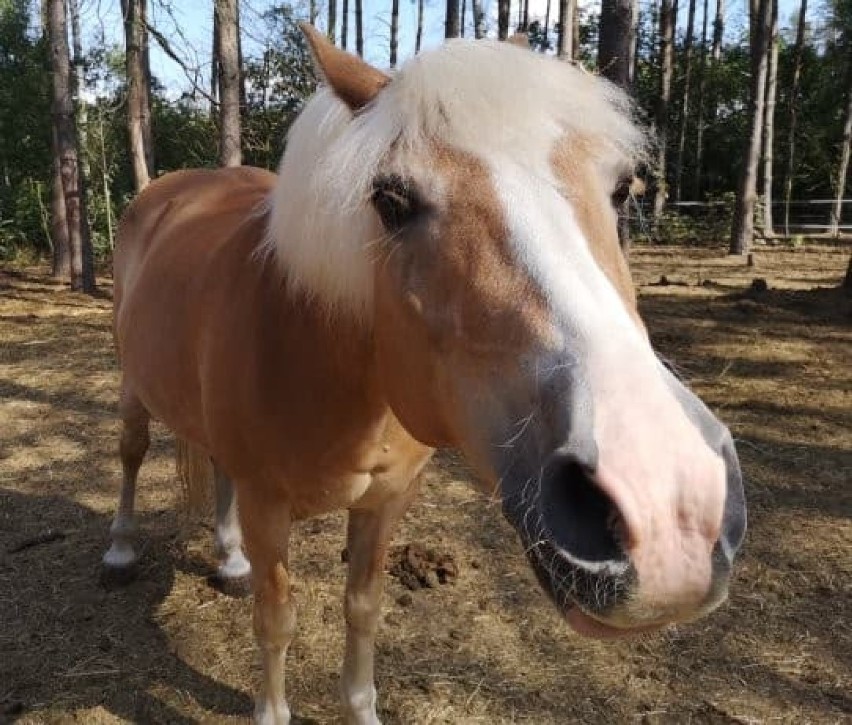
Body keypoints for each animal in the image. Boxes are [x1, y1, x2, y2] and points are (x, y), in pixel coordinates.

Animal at [103, 25, 744, 724]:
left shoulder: (387, 501)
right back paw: (121, 549)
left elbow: (364, 609)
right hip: (134, 385)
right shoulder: (268, 505)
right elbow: (276, 619)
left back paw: (229, 559)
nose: (670, 513)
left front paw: (361, 708)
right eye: (390, 200)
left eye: (624, 188)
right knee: (132, 451)